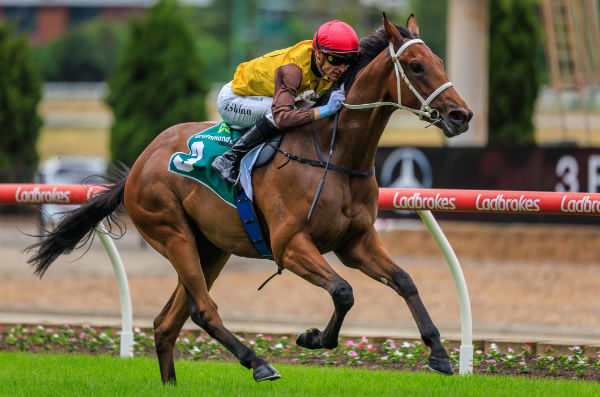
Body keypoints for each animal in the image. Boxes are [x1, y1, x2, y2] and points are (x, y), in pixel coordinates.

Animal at [27, 13, 468, 382]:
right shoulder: (290, 245)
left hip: (211, 248)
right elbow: (343, 291)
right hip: (173, 233)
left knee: (168, 322)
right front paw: (312, 338)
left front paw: (439, 354)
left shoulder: (356, 242)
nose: (462, 116)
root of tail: (139, 164)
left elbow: (405, 281)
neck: (335, 154)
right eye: (416, 67)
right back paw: (258, 362)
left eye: (440, 62)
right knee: (203, 309)